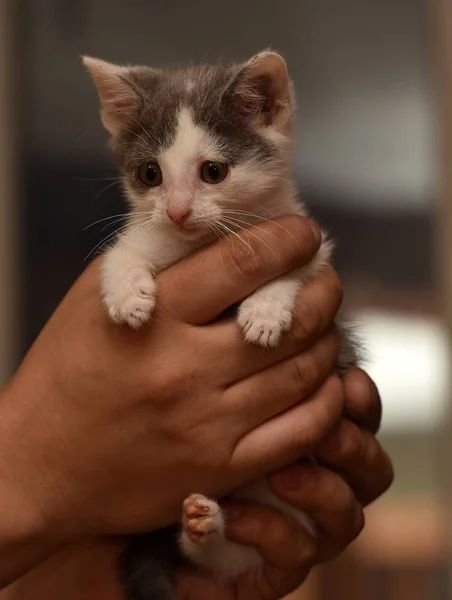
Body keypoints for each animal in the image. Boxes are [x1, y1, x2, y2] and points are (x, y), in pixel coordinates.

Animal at [84, 51, 360, 600]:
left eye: (213, 171)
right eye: (150, 174)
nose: (177, 211)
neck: (200, 244)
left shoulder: (306, 242)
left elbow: (296, 270)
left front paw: (265, 311)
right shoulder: (146, 234)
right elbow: (122, 253)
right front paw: (126, 296)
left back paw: (207, 525)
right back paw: (202, 526)